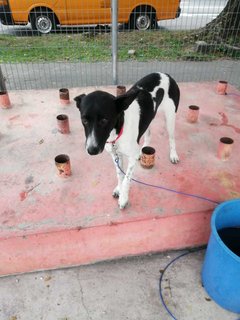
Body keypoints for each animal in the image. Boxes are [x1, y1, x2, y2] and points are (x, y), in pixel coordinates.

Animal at [74, 72, 179, 210]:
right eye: (84, 120)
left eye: (104, 120)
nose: (91, 150)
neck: (118, 130)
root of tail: (165, 74)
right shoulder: (115, 154)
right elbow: (120, 175)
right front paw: (119, 190)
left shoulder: (130, 156)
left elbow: (126, 179)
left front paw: (123, 198)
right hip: (149, 118)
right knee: (148, 135)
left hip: (171, 118)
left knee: (172, 138)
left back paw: (173, 155)